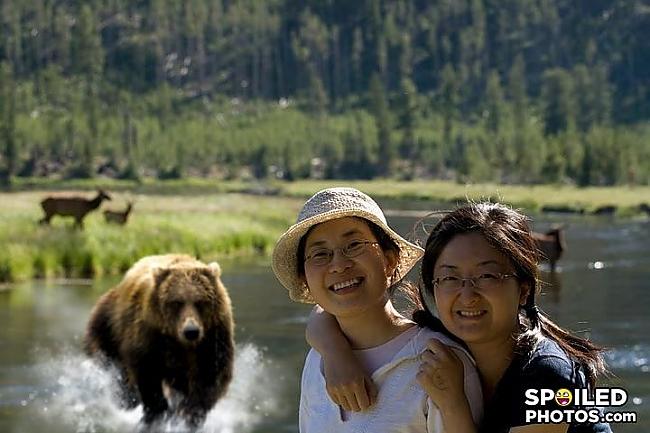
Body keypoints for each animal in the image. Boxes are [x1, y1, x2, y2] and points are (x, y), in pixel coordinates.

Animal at [85, 253, 233, 426]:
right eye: (177, 302)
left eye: (200, 302)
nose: (191, 331)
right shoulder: (148, 333)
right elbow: (147, 372)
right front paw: (158, 412)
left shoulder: (213, 335)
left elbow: (212, 372)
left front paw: (189, 413)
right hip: (107, 327)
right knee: (114, 368)